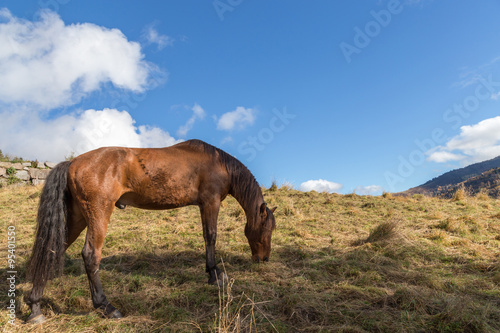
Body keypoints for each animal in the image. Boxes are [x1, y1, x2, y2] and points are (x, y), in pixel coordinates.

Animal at [24, 139, 278, 322]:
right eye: (267, 229)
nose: (264, 258)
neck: (218, 163)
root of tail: (73, 162)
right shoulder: (210, 202)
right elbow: (211, 237)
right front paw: (214, 274)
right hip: (98, 214)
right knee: (90, 255)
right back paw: (106, 306)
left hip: (77, 218)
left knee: (51, 251)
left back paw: (35, 307)